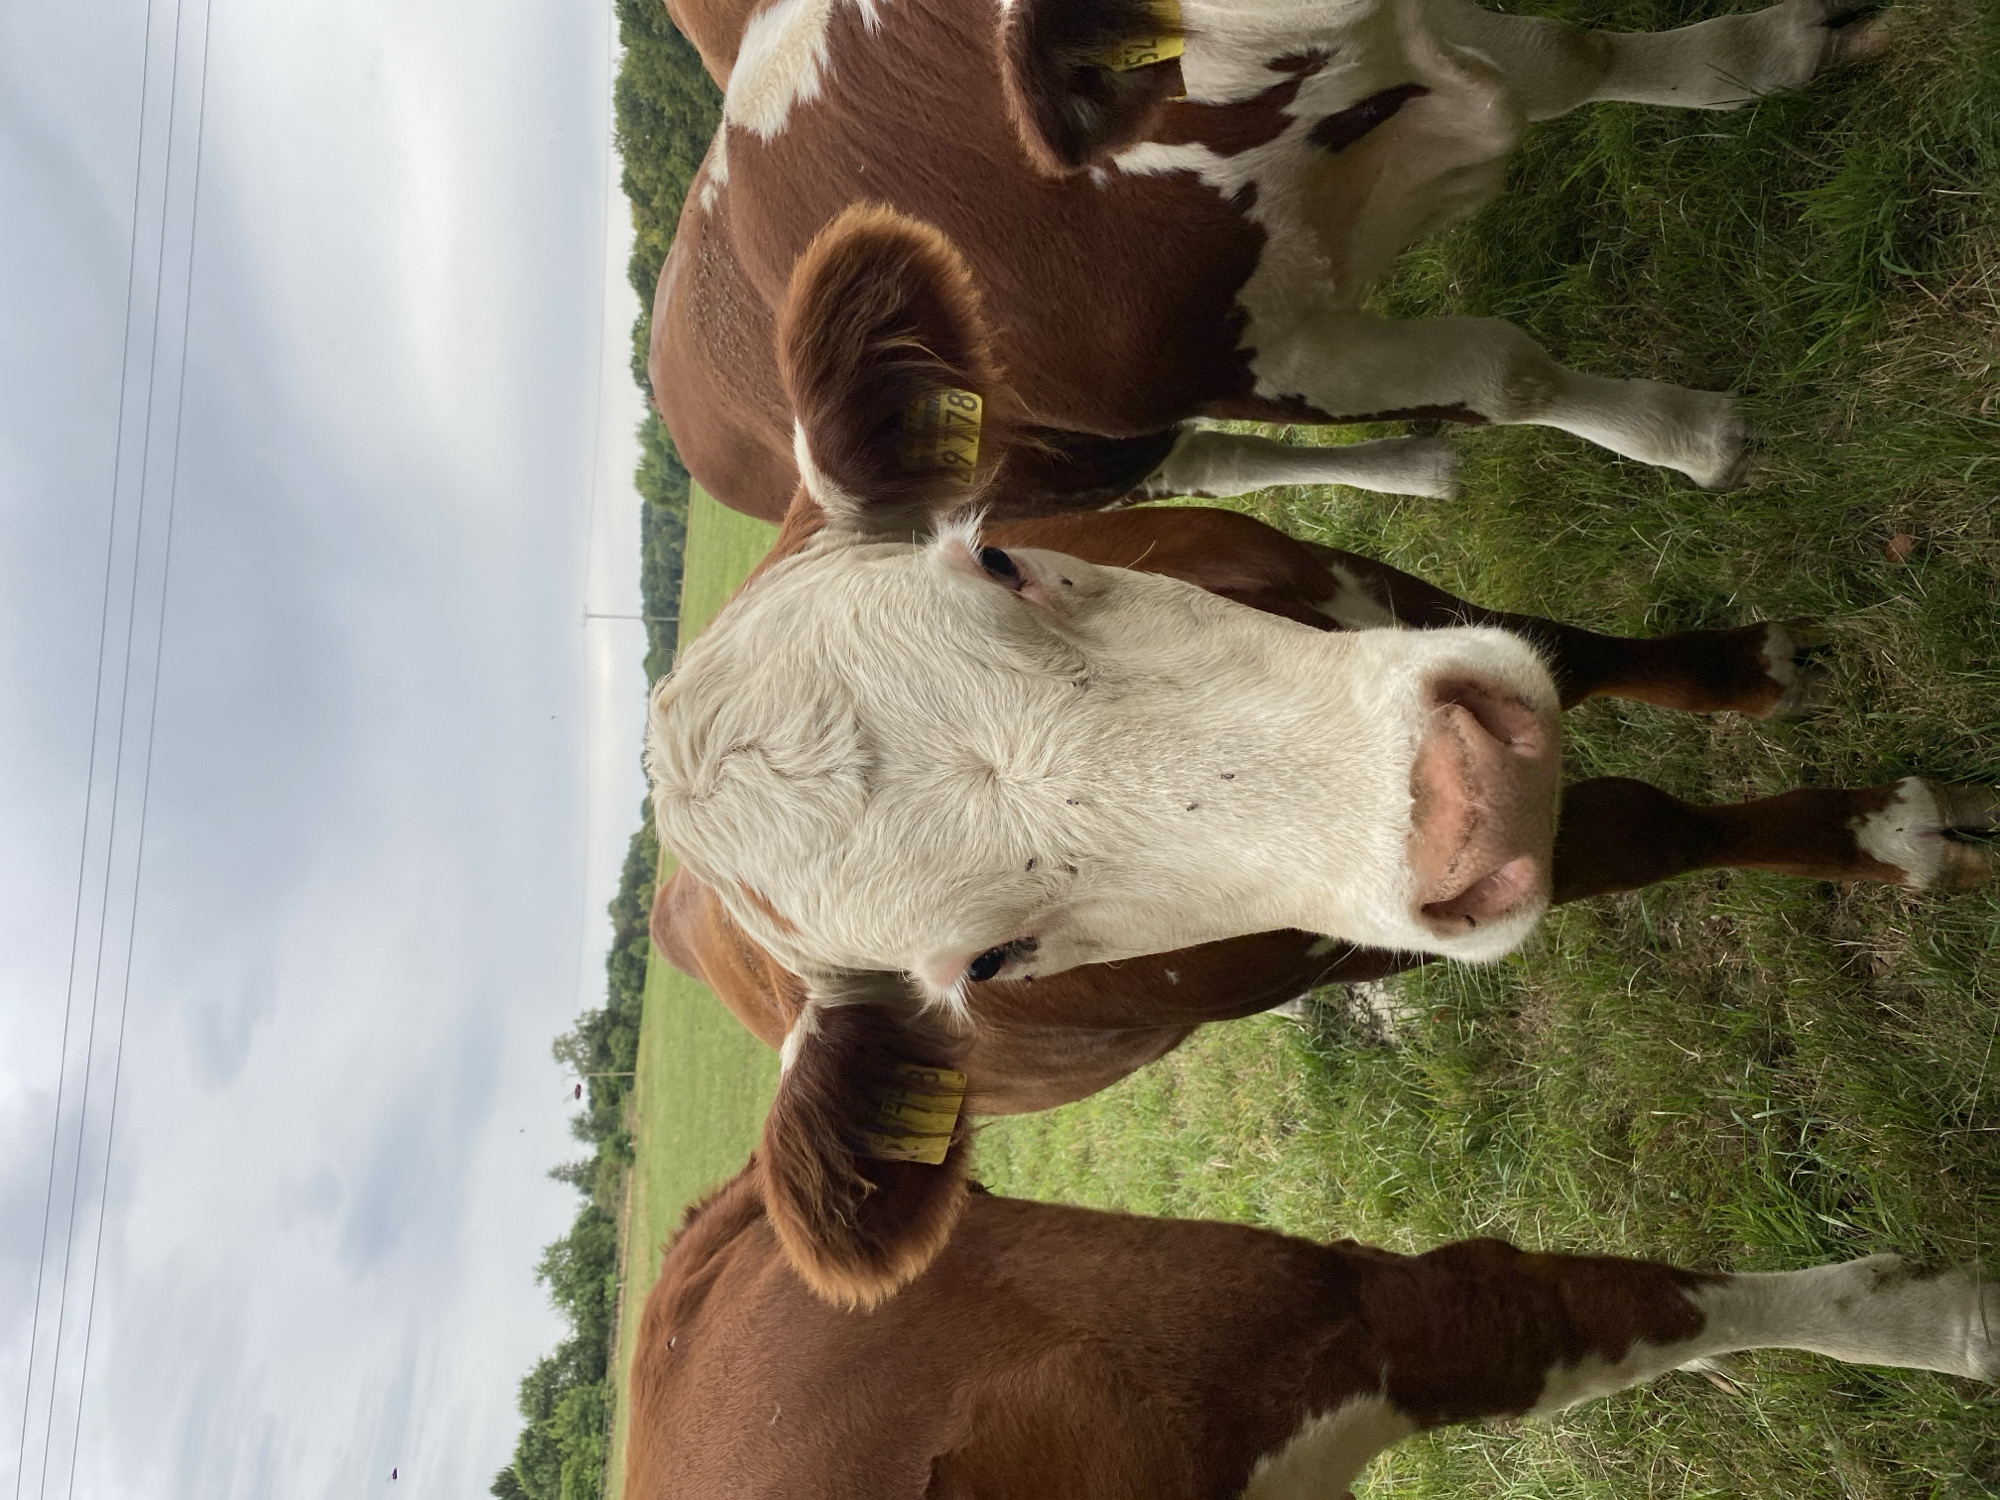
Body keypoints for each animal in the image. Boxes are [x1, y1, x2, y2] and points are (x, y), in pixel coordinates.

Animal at [644, 209, 1999, 1308]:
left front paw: (1745, 675)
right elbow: (1654, 827)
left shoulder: (1351, 584)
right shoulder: (1378, 919)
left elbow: (1563, 652)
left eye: (998, 560)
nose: (1470, 796)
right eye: (990, 961)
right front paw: (1893, 834)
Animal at [652, 0, 1892, 521]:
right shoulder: (1254, 361)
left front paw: (1754, 58)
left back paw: (1418, 465)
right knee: (1212, 469)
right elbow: (1504, 373)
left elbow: (1567, 56)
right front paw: (1681, 435)